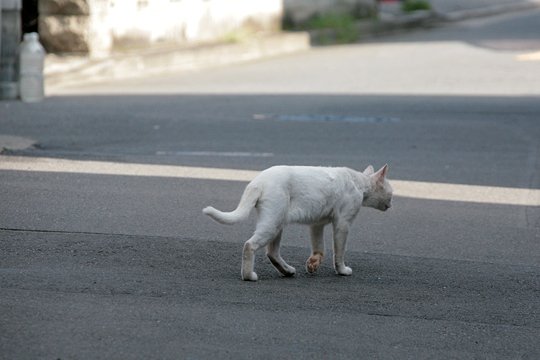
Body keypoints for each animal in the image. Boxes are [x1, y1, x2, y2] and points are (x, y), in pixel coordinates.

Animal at [202, 164, 392, 282]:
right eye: (391, 193)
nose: (391, 205)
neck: (359, 182)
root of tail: (258, 180)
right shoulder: (342, 223)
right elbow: (339, 252)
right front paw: (342, 270)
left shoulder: (317, 224)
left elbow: (319, 248)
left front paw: (313, 264)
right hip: (273, 222)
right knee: (250, 245)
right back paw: (249, 276)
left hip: (277, 223)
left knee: (272, 252)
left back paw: (287, 271)